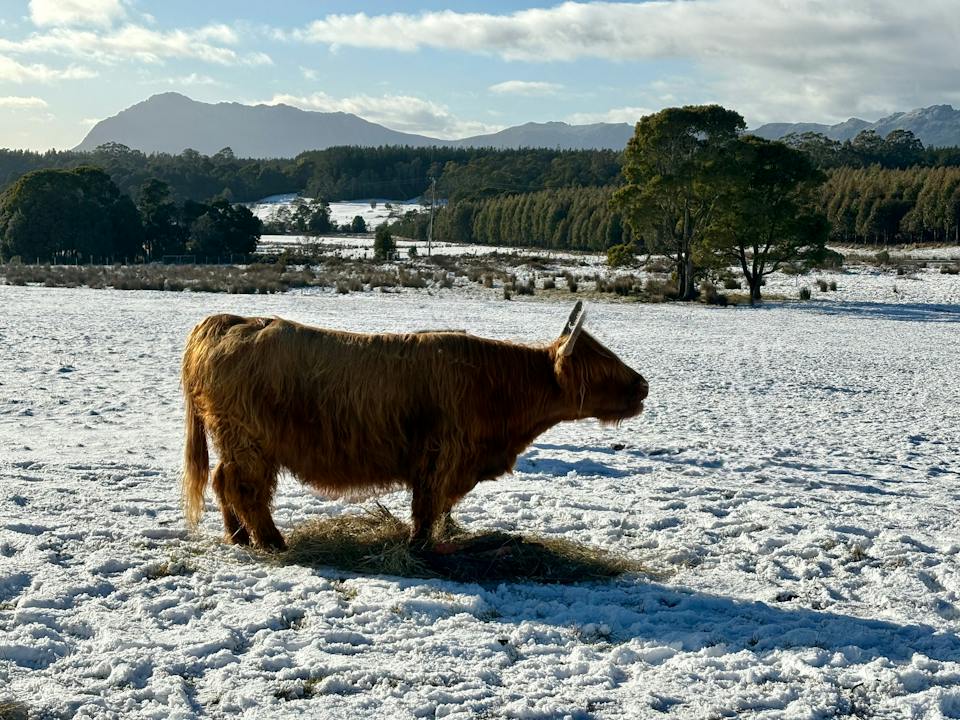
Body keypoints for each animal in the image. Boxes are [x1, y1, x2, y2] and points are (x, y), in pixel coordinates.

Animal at [181, 301, 648, 551]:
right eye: (603, 365)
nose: (643, 384)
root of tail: (231, 320)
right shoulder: (441, 457)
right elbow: (427, 506)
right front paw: (420, 546)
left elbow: (435, 508)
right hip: (250, 442)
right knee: (244, 488)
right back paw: (272, 541)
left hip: (235, 442)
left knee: (223, 482)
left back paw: (240, 538)